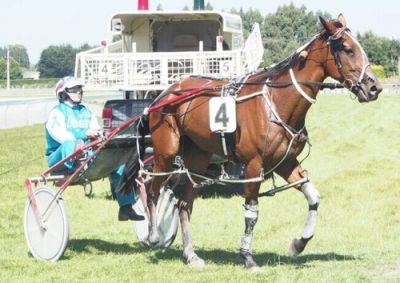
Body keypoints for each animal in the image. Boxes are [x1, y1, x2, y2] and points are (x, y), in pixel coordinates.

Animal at [128, 15, 382, 270]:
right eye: (348, 49)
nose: (374, 87)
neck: (277, 101)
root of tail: (166, 93)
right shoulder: (253, 165)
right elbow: (252, 213)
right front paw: (248, 256)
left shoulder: (285, 162)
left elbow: (313, 197)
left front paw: (299, 243)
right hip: (166, 152)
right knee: (149, 185)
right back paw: (153, 234)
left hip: (198, 158)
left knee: (184, 204)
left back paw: (191, 254)